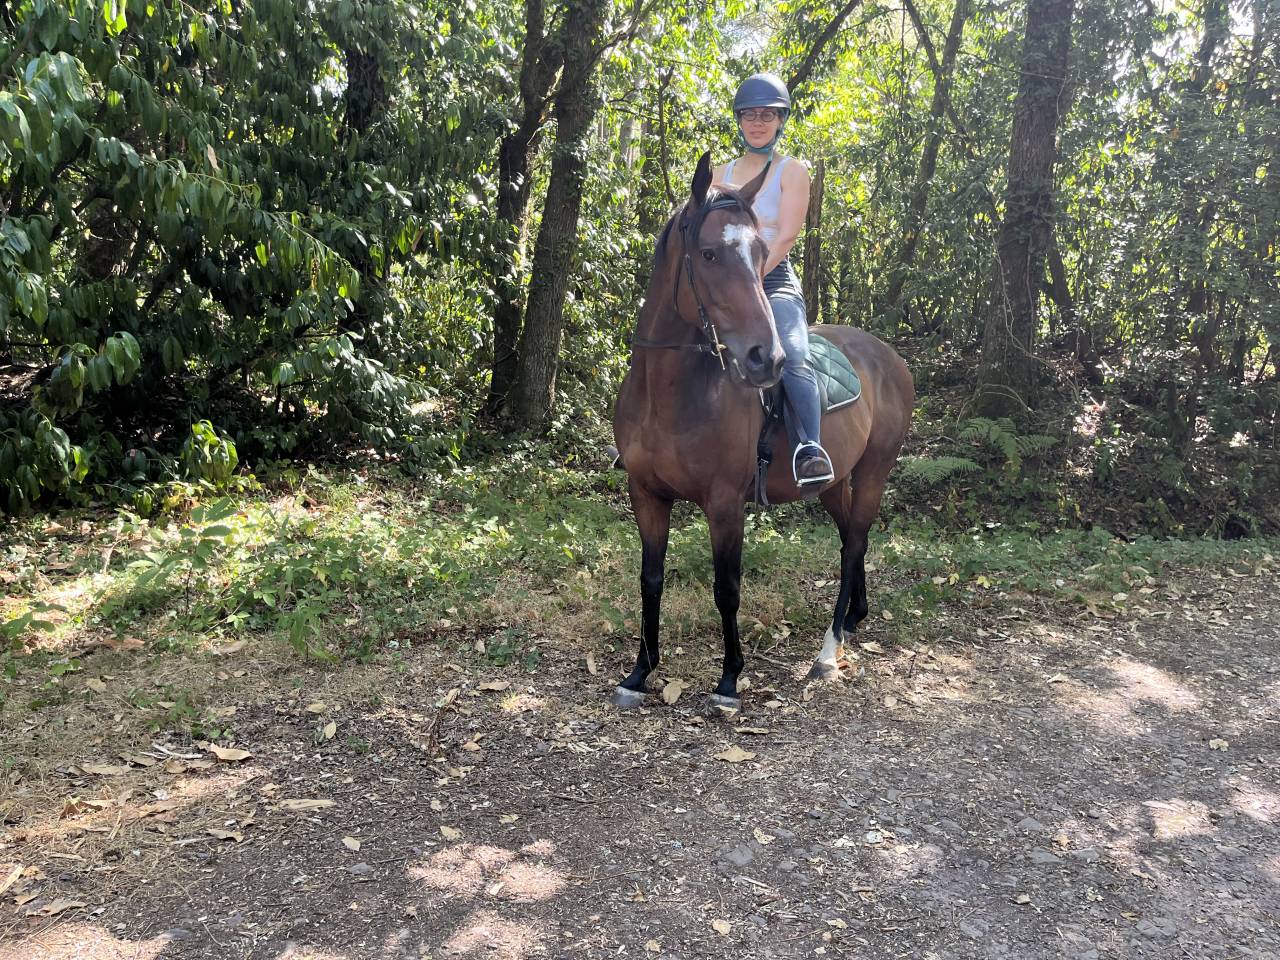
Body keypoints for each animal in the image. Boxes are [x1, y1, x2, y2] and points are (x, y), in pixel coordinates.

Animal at [610, 151, 914, 713]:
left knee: (854, 543)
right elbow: (650, 580)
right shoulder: (646, 493)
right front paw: (640, 672)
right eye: (708, 254)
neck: (670, 394)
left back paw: (829, 650)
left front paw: (729, 680)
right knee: (850, 538)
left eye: (760, 254)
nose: (765, 359)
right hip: (832, 483)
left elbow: (727, 588)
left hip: (874, 472)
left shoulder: (725, 503)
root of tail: (888, 356)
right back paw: (854, 617)